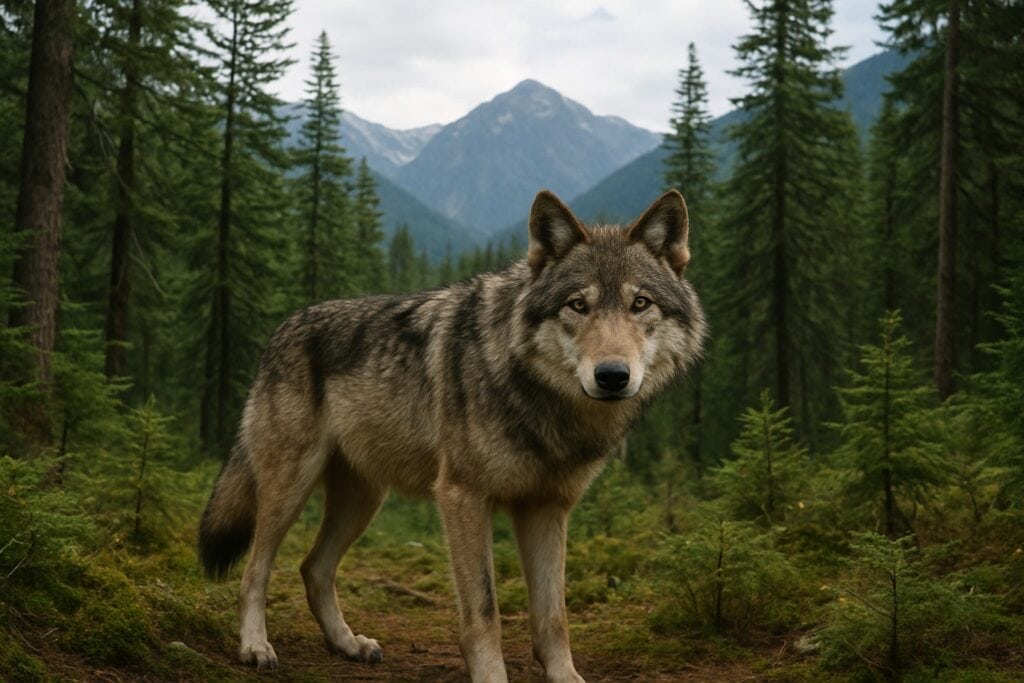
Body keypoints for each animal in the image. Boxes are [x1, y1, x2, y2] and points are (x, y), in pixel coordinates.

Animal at [198, 189, 706, 682]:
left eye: (640, 303)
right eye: (578, 305)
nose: (613, 376)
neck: (539, 401)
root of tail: (280, 330)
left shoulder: (547, 507)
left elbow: (553, 617)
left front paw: (566, 675)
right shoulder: (462, 497)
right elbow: (484, 611)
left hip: (364, 500)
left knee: (313, 568)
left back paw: (347, 644)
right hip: (290, 489)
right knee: (255, 570)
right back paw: (256, 646)